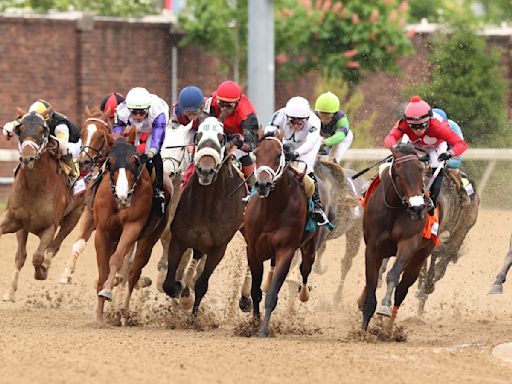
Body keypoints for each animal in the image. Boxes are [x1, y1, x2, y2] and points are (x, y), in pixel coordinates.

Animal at [0, 109, 83, 302]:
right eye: (20, 129)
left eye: (42, 130)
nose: (27, 157)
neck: (35, 187)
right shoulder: (16, 221)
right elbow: (21, 256)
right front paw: (10, 292)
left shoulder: (50, 226)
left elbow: (38, 256)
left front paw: (42, 272)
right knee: (22, 255)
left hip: (75, 215)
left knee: (55, 245)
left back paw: (47, 266)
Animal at [93, 128, 171, 320]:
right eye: (110, 162)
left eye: (135, 160)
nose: (123, 195)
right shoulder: (102, 232)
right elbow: (102, 270)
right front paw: (99, 315)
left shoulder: (132, 227)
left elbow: (115, 259)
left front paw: (107, 291)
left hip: (149, 239)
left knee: (134, 272)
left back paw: (124, 312)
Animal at [163, 117, 245, 316]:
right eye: (198, 136)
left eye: (222, 138)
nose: (206, 170)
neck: (205, 207)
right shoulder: (178, 240)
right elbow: (169, 283)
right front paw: (179, 290)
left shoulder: (218, 249)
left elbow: (201, 284)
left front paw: (192, 314)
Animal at [243, 128, 332, 336]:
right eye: (256, 153)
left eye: (278, 155)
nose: (263, 185)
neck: (271, 211)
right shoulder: (253, 250)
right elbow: (256, 292)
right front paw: (253, 324)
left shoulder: (286, 251)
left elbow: (272, 295)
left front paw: (263, 330)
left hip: (310, 248)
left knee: (305, 270)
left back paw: (304, 293)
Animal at [356, 142, 440, 332]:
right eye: (398, 173)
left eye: (420, 170)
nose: (417, 208)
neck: (394, 208)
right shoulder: (372, 248)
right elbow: (371, 281)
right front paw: (363, 329)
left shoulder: (408, 243)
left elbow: (393, 276)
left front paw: (384, 307)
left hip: (419, 256)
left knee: (402, 289)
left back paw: (388, 329)